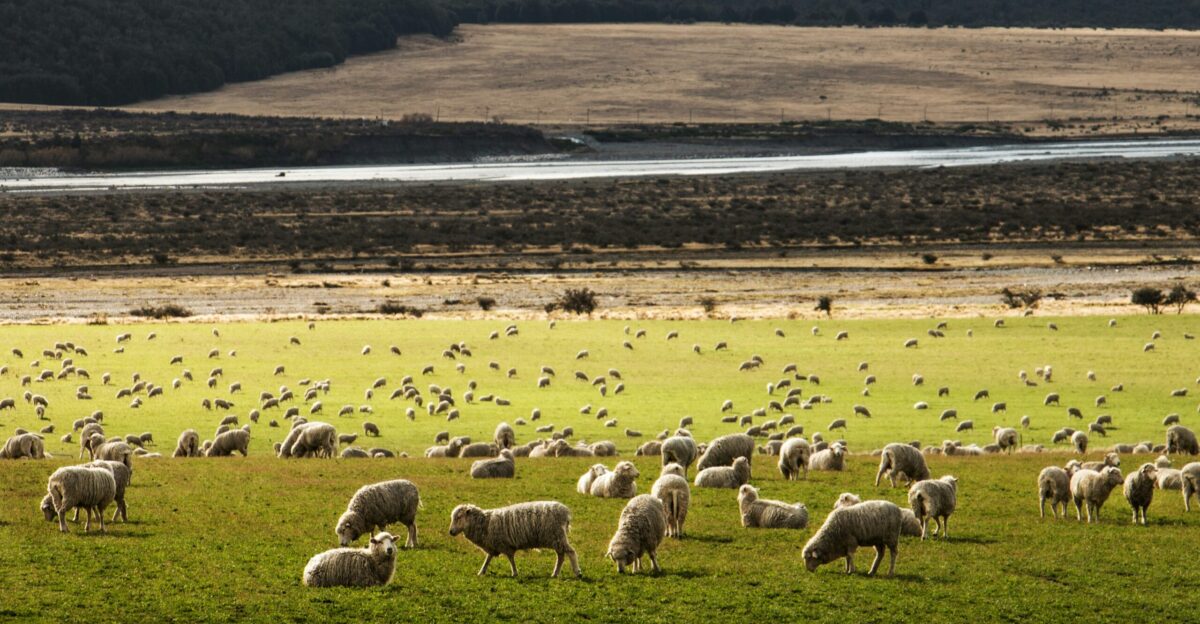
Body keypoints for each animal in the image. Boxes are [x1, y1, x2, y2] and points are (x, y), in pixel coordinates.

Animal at [448, 501, 581, 578]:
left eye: (458, 517)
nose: (450, 532)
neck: (485, 523)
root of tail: (565, 512)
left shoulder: (504, 544)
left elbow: (510, 559)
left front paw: (514, 573)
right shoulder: (493, 545)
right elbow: (488, 559)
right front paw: (481, 572)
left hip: (557, 536)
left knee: (571, 552)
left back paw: (577, 572)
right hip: (556, 539)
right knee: (561, 556)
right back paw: (555, 573)